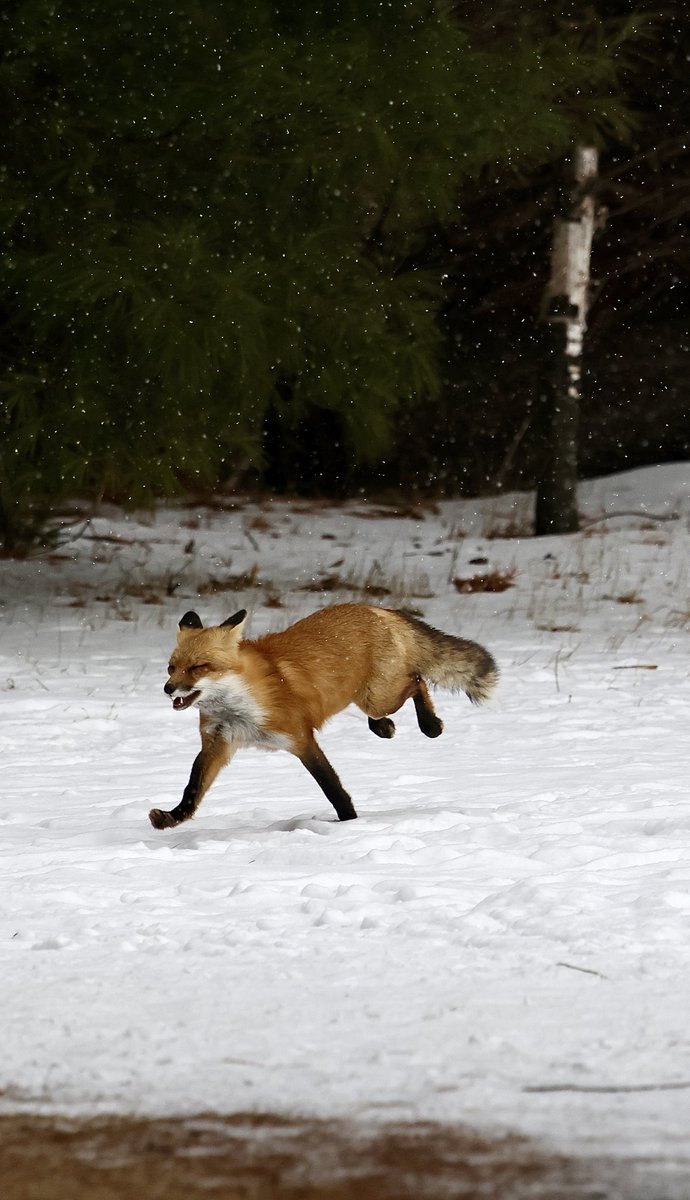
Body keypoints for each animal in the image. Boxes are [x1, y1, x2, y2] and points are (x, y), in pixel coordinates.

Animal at [148, 603, 498, 831]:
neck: (239, 706)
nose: (167, 688)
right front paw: (172, 818)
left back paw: (430, 725)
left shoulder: (300, 739)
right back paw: (385, 728)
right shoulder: (217, 744)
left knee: (417, 680)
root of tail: (377, 607)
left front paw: (349, 823)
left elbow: (332, 787)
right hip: (368, 698)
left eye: (199, 668)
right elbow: (192, 788)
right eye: (171, 667)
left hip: (377, 697)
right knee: (403, 693)